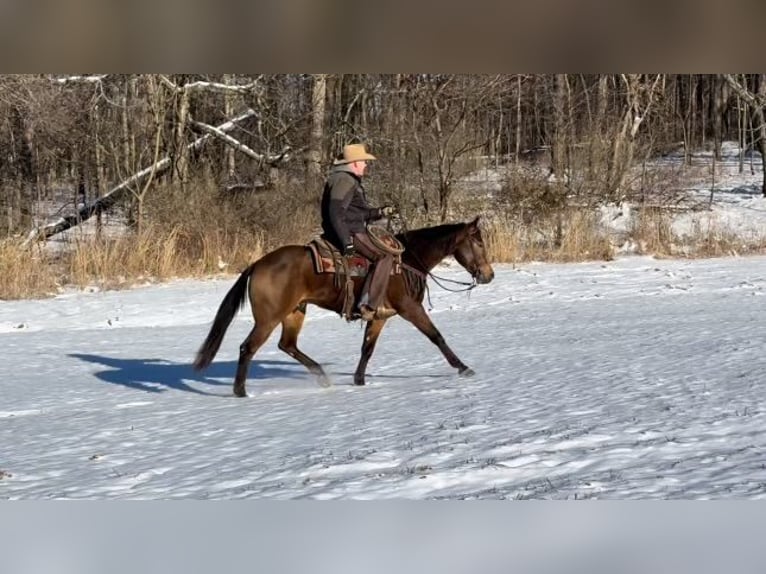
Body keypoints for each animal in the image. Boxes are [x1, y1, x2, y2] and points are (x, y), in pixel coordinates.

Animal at [192, 216, 498, 396]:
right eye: (479, 243)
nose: (489, 275)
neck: (408, 260)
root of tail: (257, 265)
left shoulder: (380, 315)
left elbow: (367, 348)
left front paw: (359, 380)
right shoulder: (410, 308)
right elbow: (436, 336)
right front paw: (463, 368)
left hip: (295, 311)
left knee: (287, 345)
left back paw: (322, 377)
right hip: (268, 318)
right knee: (248, 347)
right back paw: (240, 391)